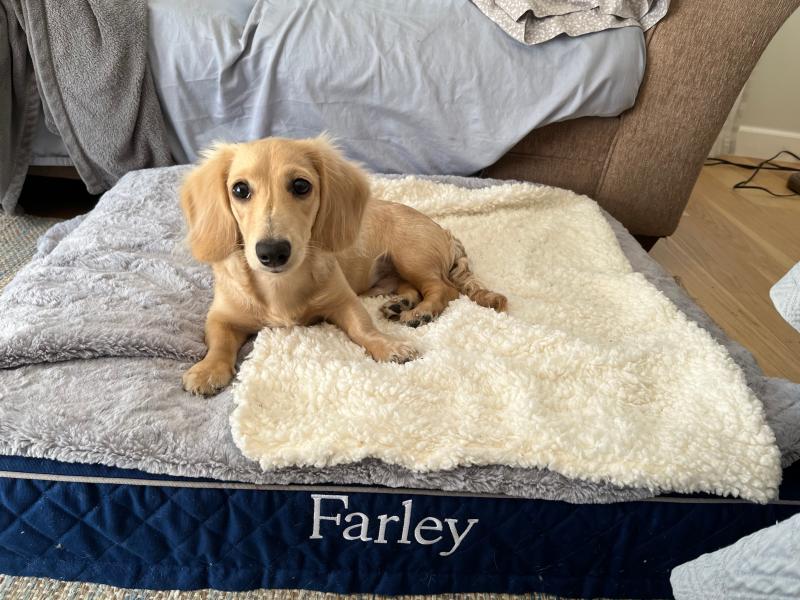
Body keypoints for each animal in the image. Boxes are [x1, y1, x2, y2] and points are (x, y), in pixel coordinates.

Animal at [180, 135, 507, 395]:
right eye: (240, 190)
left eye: (301, 185)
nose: (272, 252)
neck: (280, 286)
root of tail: (446, 233)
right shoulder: (222, 316)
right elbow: (220, 343)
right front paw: (207, 370)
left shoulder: (344, 301)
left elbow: (364, 329)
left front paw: (389, 347)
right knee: (415, 288)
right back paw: (399, 305)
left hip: (412, 256)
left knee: (443, 288)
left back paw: (421, 312)